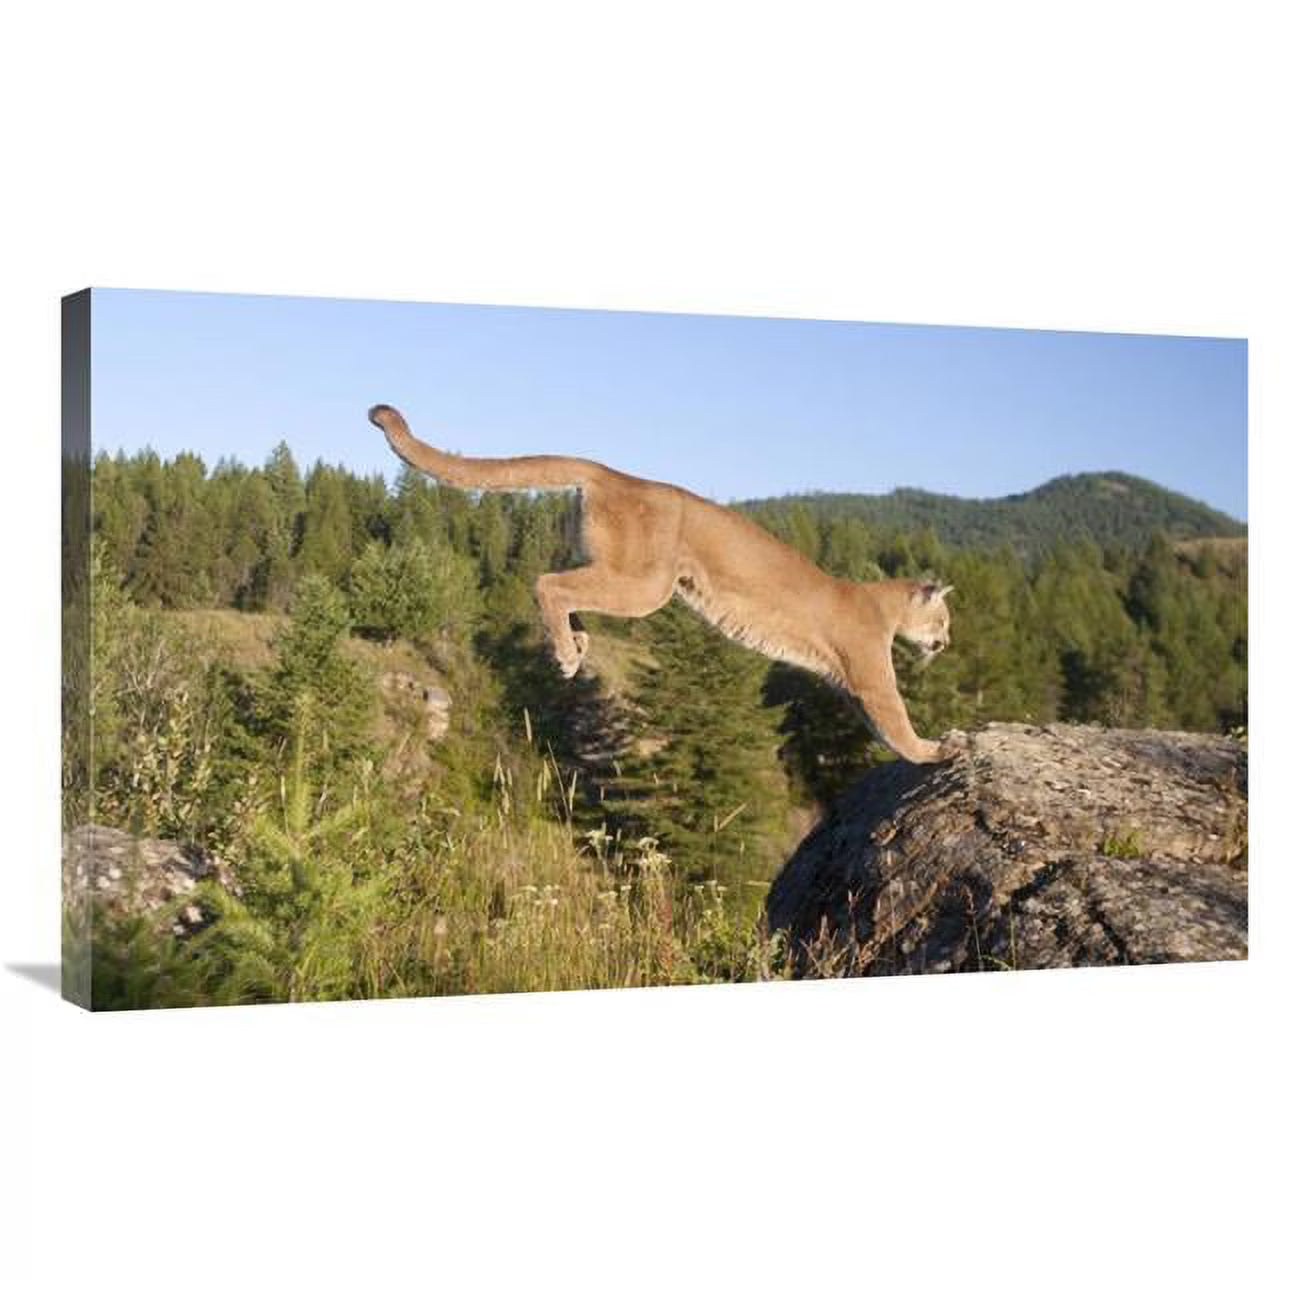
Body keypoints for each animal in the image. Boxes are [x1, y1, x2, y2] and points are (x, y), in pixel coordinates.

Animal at [370, 404, 956, 764]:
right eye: (944, 618)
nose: (945, 643)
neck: (884, 605)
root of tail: (616, 474)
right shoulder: (870, 675)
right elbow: (896, 720)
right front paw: (934, 750)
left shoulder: (848, 683)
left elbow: (880, 728)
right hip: (646, 584)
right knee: (548, 582)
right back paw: (567, 652)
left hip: (616, 567)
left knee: (563, 582)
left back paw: (575, 643)